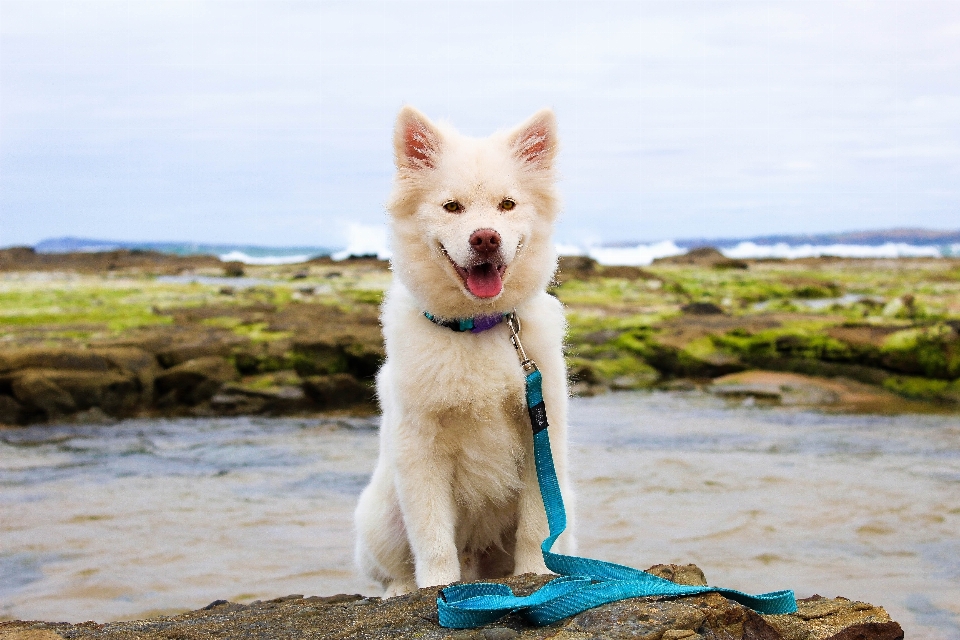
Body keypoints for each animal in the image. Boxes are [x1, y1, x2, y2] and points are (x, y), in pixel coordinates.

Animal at [356, 104, 572, 596]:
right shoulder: (419, 450)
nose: (485, 238)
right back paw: (401, 590)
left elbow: (536, 525)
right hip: (380, 516)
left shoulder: (540, 434)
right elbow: (432, 536)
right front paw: (437, 589)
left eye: (507, 204)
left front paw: (536, 574)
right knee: (394, 568)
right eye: (451, 206)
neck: (477, 327)